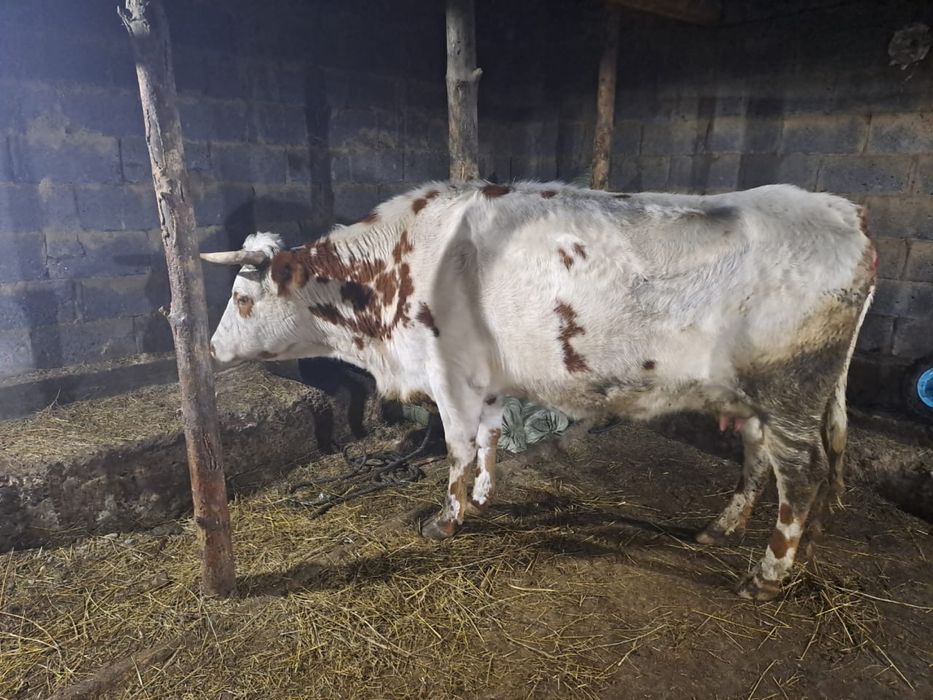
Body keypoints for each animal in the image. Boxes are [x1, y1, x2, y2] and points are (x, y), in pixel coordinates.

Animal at [201, 180, 876, 601]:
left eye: (241, 297)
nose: (208, 350)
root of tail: (846, 214)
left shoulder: (449, 375)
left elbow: (457, 449)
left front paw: (447, 519)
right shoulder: (486, 377)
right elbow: (491, 437)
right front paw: (485, 496)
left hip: (789, 390)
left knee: (803, 476)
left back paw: (766, 575)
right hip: (758, 399)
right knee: (760, 461)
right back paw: (727, 531)